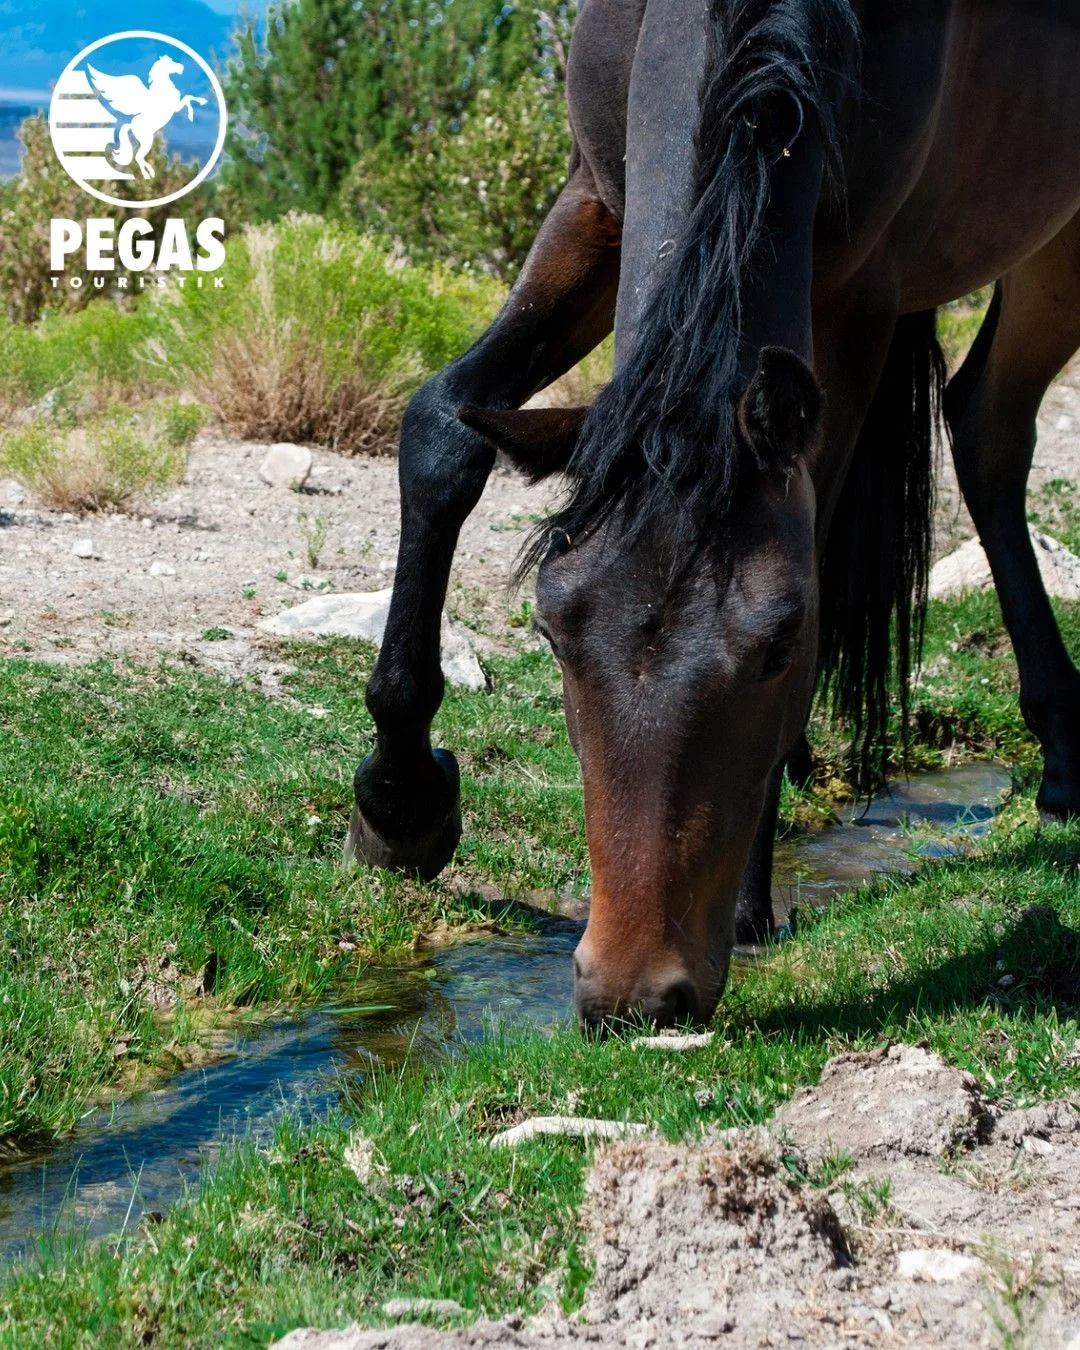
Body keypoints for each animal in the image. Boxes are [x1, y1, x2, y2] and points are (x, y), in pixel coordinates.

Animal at [348, 0, 1080, 1029]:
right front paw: (401, 802)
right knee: (988, 426)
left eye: (783, 643)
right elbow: (441, 429)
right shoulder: (594, 201)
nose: (632, 993)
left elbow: (815, 538)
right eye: (552, 633)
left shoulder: (858, 296)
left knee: (993, 428)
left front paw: (748, 901)